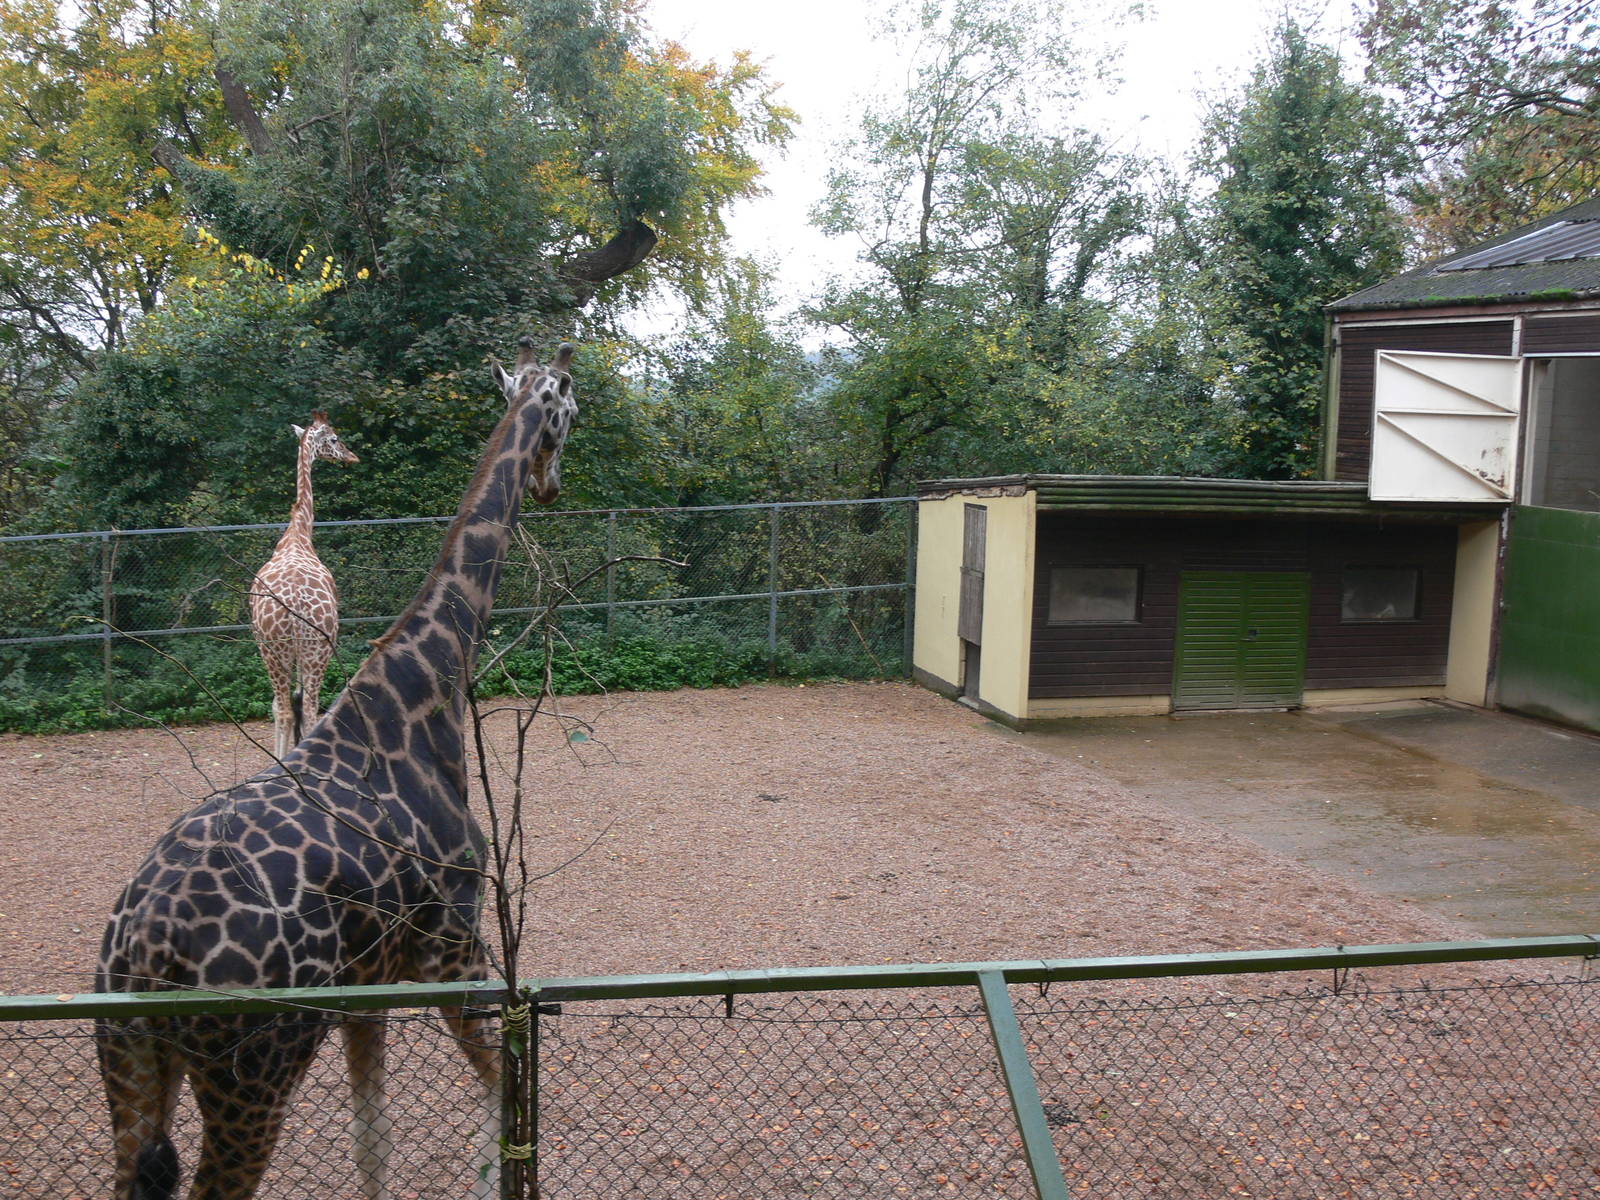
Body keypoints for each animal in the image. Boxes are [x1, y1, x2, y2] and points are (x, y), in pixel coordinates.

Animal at [249, 411, 360, 759]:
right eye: (335, 438)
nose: (352, 456)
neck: (298, 535)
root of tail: (296, 605)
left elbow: (281, 707)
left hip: (285, 650)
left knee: (293, 708)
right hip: (309, 649)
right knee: (305, 707)